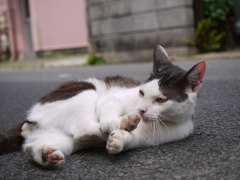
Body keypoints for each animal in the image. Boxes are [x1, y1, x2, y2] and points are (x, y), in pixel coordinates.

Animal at [0, 45, 206, 167]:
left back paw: (46, 155)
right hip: (85, 90)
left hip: (59, 138)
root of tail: (30, 117)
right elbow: (109, 104)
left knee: (39, 145)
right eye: (141, 93)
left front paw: (118, 141)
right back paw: (123, 122)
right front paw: (112, 124)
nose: (141, 110)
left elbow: (132, 140)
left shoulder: (160, 135)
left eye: (161, 100)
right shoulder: (113, 97)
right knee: (85, 130)